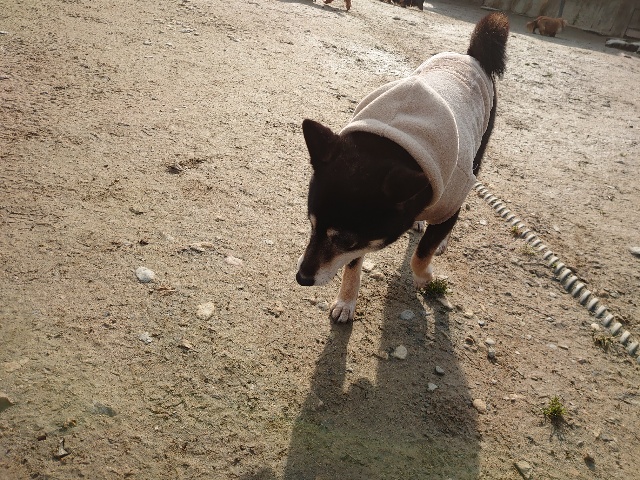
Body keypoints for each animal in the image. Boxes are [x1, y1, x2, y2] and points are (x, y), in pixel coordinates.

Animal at [296, 13, 509, 322]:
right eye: (311, 225)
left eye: (345, 240)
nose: (301, 277)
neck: (390, 142)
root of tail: (471, 56)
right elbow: (353, 265)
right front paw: (346, 301)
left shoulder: (451, 197)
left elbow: (421, 253)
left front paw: (425, 276)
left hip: (478, 152)